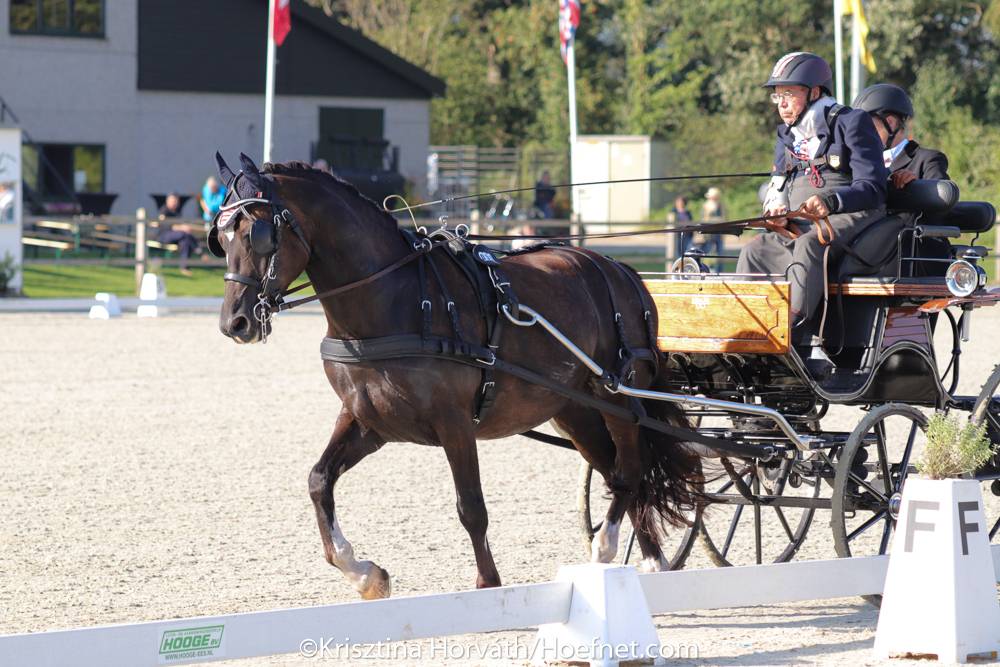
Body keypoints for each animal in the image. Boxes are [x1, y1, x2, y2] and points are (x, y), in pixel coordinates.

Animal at [211, 152, 700, 599]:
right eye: (220, 236)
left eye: (258, 233)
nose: (235, 323)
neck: (394, 299)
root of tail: (622, 271)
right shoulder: (369, 421)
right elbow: (318, 480)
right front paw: (365, 574)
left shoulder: (455, 423)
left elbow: (471, 507)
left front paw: (488, 583)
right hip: (574, 410)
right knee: (618, 472)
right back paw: (648, 561)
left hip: (618, 396)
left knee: (631, 469)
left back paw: (609, 549)